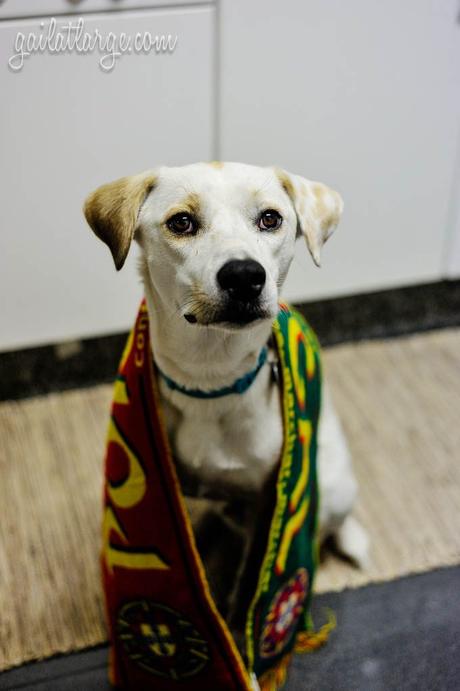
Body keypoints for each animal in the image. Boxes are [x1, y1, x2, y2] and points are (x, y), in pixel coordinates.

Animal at [84, 162, 368, 688]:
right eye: (181, 222)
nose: (244, 276)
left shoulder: (268, 500)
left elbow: (248, 585)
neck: (209, 380)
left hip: (332, 486)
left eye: (271, 218)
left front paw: (241, 635)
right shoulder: (175, 498)